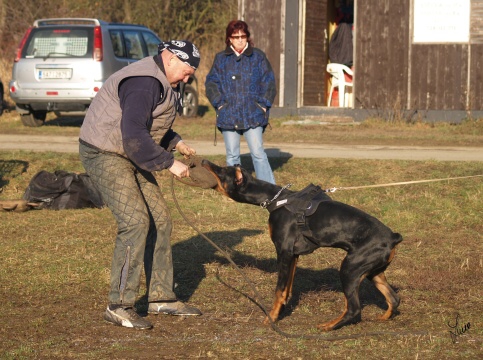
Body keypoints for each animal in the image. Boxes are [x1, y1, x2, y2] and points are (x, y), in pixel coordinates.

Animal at [202, 162, 402, 330]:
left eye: (221, 170)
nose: (204, 161)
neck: (276, 199)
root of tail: (393, 237)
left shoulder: (283, 251)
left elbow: (279, 290)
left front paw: (271, 318)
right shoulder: (294, 255)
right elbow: (287, 288)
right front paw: (281, 311)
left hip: (350, 269)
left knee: (354, 309)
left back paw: (329, 325)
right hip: (372, 271)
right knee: (394, 299)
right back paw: (383, 318)